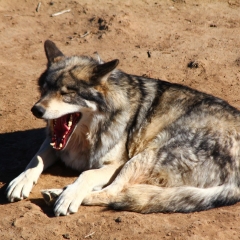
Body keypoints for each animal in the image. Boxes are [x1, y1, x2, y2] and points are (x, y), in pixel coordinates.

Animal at [5, 40, 240, 217]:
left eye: (67, 93)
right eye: (44, 90)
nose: (36, 110)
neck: (88, 135)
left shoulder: (117, 163)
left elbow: (87, 174)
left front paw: (70, 195)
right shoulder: (54, 141)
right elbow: (37, 158)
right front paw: (20, 181)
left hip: (144, 156)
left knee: (115, 192)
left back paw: (60, 193)